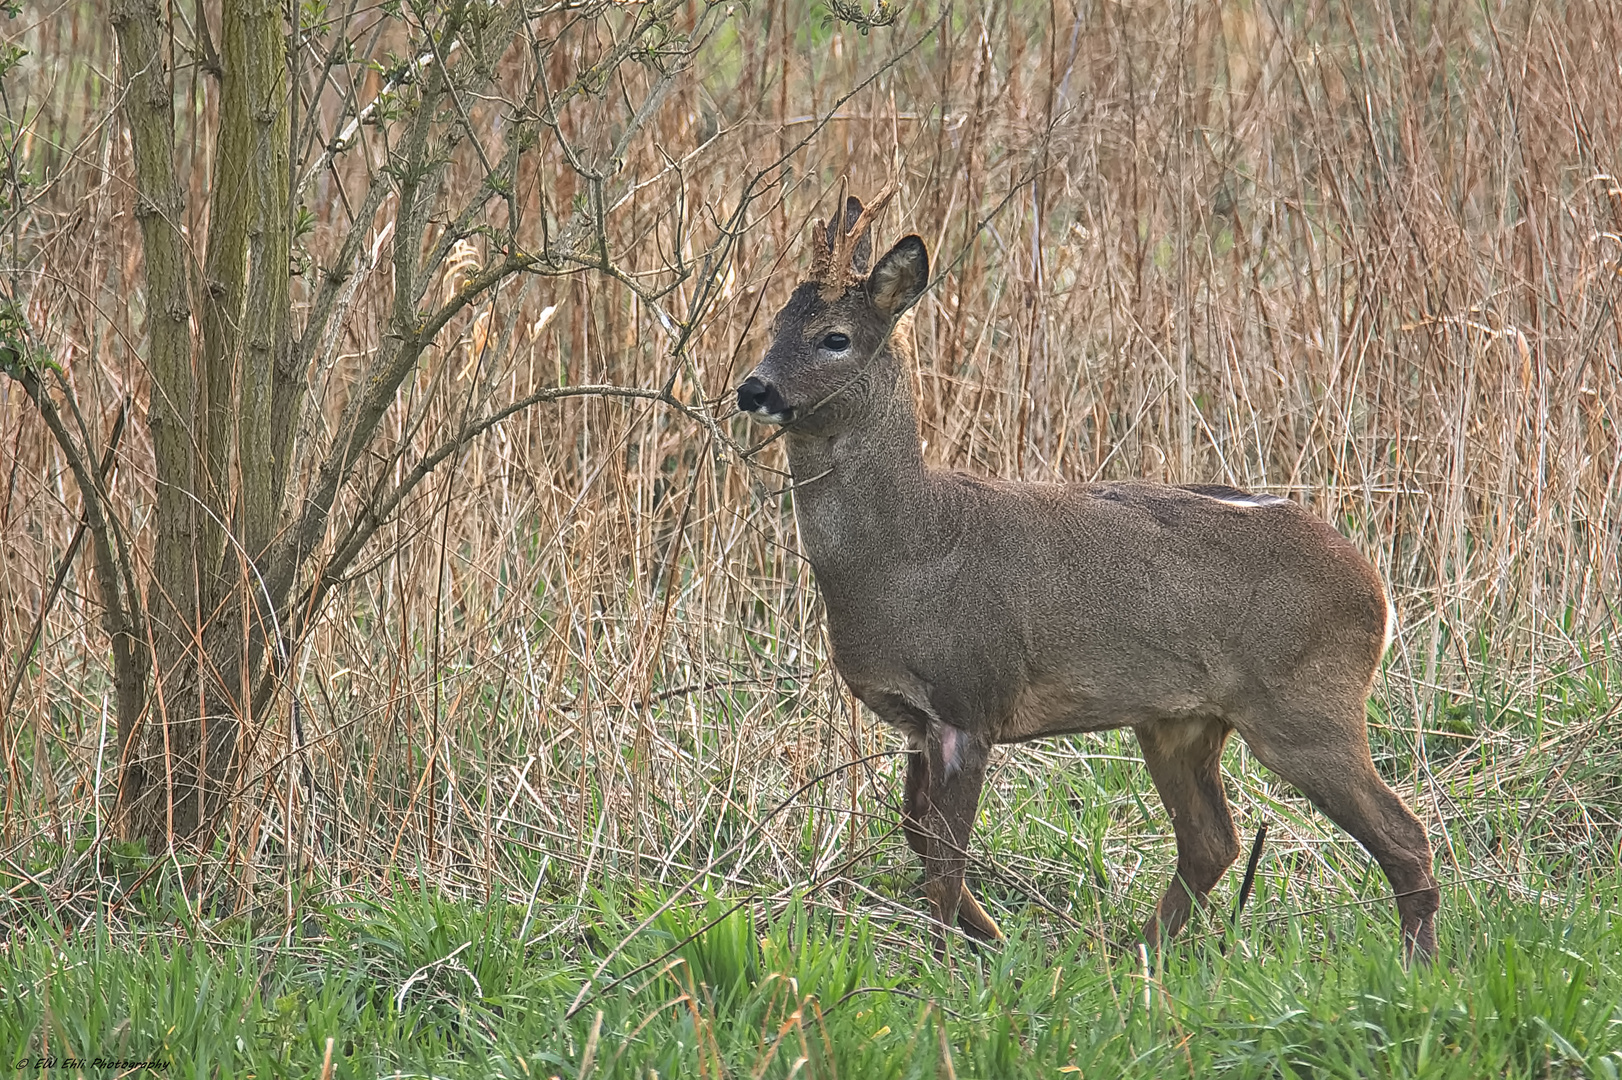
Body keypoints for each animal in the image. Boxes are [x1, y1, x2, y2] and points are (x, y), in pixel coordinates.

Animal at [742, 193, 1440, 960]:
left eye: (834, 338)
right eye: (774, 324)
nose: (754, 388)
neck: (905, 549)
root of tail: (1378, 592)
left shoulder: (970, 699)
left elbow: (945, 863)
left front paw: (946, 963)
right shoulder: (919, 720)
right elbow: (921, 841)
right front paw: (990, 940)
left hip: (1306, 704)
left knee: (1405, 835)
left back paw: (1417, 964)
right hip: (1180, 719)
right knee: (1213, 842)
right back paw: (1138, 956)